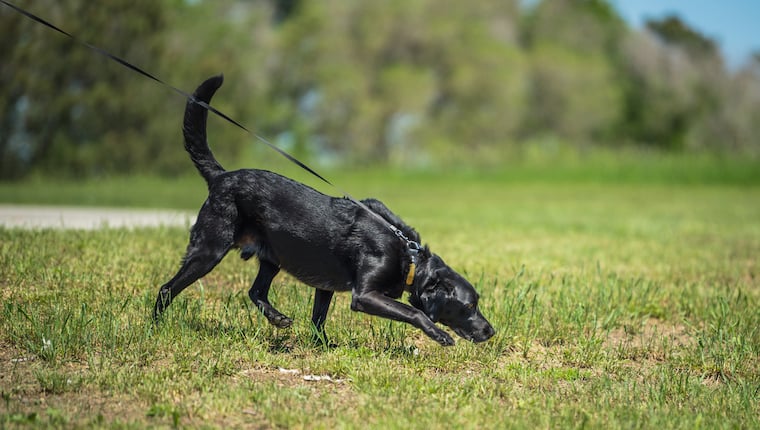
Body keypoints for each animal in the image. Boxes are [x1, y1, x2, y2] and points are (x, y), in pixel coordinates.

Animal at [153, 74, 498, 346]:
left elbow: (318, 318)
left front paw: (323, 346)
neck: (408, 257)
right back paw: (154, 327)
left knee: (256, 291)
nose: (490, 331)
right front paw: (439, 334)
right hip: (209, 250)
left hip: (273, 255)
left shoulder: (325, 286)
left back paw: (278, 319)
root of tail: (221, 176)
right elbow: (414, 311)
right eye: (469, 306)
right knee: (166, 289)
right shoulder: (365, 295)